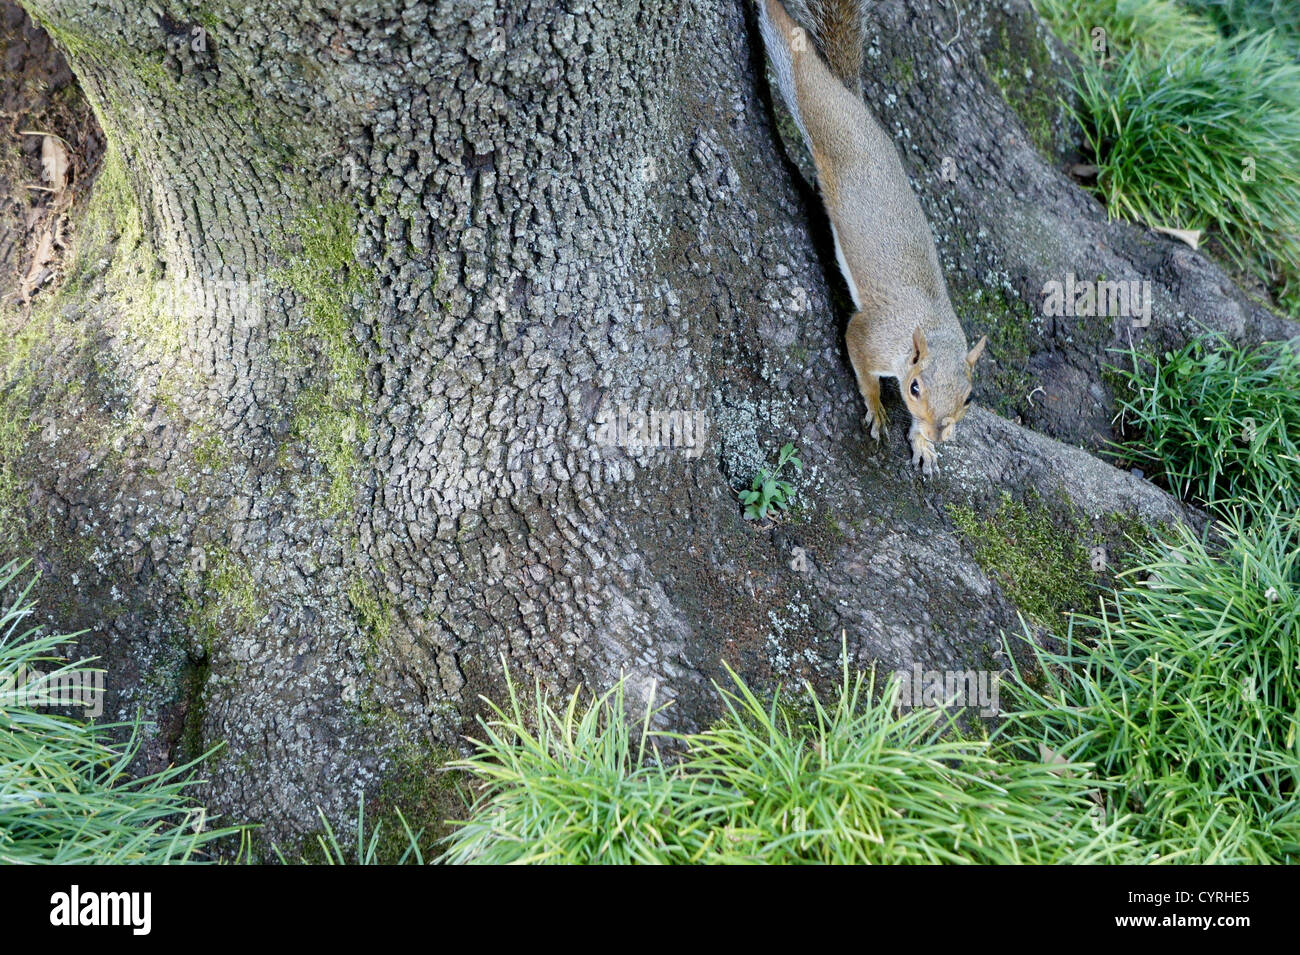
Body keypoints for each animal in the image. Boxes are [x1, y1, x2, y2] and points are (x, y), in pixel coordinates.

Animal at [759, 0, 977, 475]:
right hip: (818, 107)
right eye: (914, 388)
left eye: (969, 397)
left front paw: (923, 444)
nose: (939, 432)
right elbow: (859, 357)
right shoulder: (872, 334)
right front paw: (877, 406)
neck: (928, 330)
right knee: (794, 57)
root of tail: (858, 112)